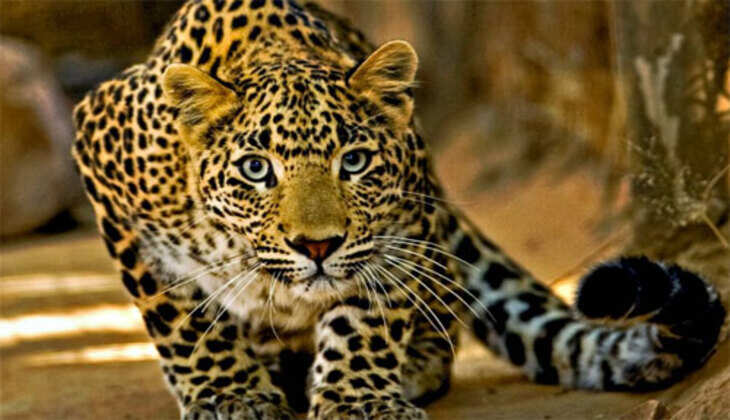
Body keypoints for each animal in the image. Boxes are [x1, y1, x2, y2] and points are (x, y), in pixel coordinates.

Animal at [71, 1, 726, 419]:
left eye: (355, 162)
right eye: (256, 169)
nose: (317, 246)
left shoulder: (400, 226)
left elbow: (367, 316)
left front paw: (358, 400)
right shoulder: (101, 159)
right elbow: (181, 317)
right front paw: (231, 396)